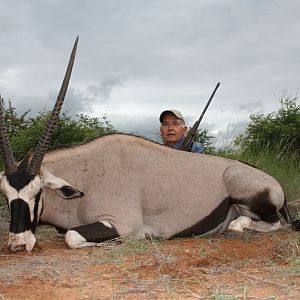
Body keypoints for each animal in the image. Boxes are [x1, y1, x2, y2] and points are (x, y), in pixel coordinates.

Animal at [0, 37, 298, 252]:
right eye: (6, 194)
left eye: (38, 192)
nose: (17, 244)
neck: (87, 175)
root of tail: (274, 182)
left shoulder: (124, 224)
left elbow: (71, 236)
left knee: (275, 224)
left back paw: (237, 225)